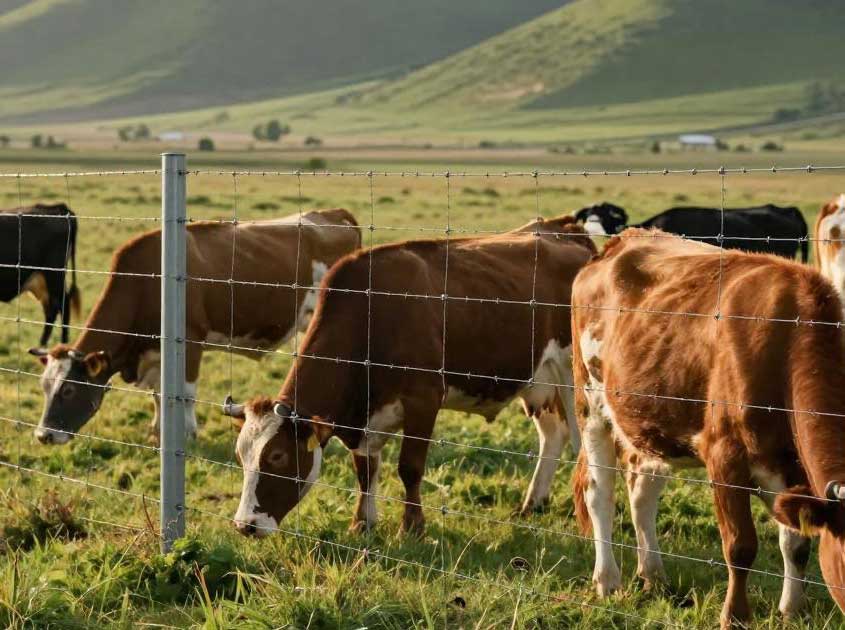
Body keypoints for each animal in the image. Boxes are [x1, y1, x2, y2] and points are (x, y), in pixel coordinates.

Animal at [0, 203, 80, 346]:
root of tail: (59, 208)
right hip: (43, 281)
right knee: (52, 308)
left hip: (53, 274)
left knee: (61, 305)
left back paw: (59, 344)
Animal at [28, 208, 361, 445]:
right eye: (44, 386)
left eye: (69, 389)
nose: (44, 436)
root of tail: (332, 213)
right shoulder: (156, 351)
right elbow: (159, 395)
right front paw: (158, 432)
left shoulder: (190, 341)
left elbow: (185, 393)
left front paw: (187, 434)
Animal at [222, 215, 596, 537]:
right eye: (241, 456)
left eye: (277, 457)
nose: (244, 525)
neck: (372, 316)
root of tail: (564, 228)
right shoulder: (364, 420)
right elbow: (365, 471)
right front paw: (362, 523)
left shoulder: (423, 400)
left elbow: (409, 467)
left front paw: (412, 527)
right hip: (539, 380)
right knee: (554, 435)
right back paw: (532, 504)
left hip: (572, 377)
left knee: (582, 446)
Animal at [570, 228, 845, 627]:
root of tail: (621, 240)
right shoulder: (724, 453)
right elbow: (741, 546)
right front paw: (736, 616)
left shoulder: (792, 470)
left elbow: (796, 544)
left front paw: (793, 609)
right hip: (590, 402)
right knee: (599, 494)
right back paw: (607, 580)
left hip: (650, 421)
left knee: (642, 494)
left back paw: (654, 576)